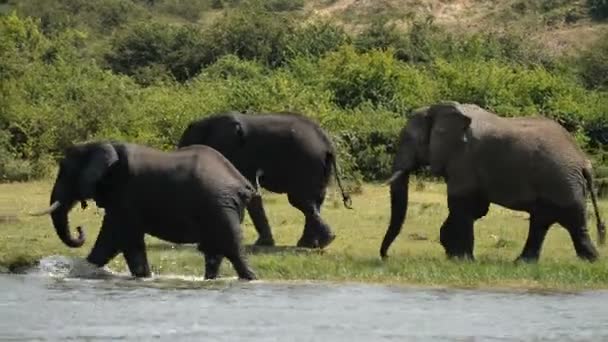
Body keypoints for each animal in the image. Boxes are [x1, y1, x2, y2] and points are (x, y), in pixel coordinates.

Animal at [29, 140, 258, 280]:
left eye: (65, 172)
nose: (79, 229)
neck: (100, 144)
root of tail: (242, 183)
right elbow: (128, 242)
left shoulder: (125, 193)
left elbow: (116, 237)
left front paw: (79, 272)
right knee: (214, 250)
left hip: (219, 205)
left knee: (231, 247)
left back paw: (250, 279)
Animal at [177, 111, 352, 248]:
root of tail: (328, 144)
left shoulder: (234, 152)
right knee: (313, 200)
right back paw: (313, 243)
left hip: (306, 161)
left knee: (301, 200)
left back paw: (322, 241)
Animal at [382, 101, 604, 262]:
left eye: (408, 140)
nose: (385, 257)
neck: (437, 110)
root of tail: (584, 162)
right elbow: (475, 209)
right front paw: (453, 255)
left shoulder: (464, 159)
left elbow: (461, 205)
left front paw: (463, 261)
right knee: (542, 222)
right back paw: (523, 264)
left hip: (562, 183)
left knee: (572, 223)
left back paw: (590, 262)